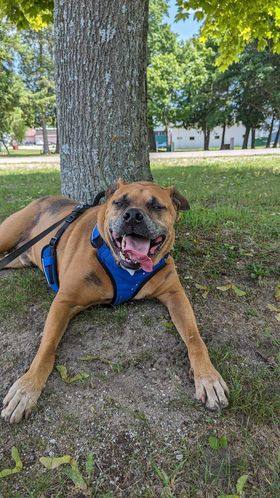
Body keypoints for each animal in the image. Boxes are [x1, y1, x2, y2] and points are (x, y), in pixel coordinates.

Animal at [0, 181, 228, 422]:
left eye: (157, 206)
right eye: (119, 202)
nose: (133, 215)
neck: (127, 269)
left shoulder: (176, 295)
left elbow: (195, 339)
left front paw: (208, 377)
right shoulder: (64, 301)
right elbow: (46, 347)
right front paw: (26, 388)